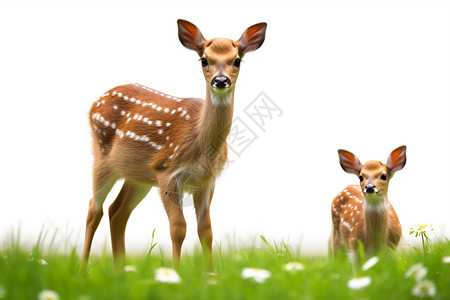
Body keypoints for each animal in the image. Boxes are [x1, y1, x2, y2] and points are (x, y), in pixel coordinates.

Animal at [81, 19, 266, 272]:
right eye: (204, 59)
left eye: (237, 60)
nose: (220, 81)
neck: (201, 145)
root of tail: (95, 101)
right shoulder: (167, 171)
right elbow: (178, 228)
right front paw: (176, 274)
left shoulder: (206, 181)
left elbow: (206, 230)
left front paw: (211, 275)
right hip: (102, 158)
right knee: (94, 208)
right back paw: (82, 271)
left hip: (138, 177)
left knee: (117, 211)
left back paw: (121, 270)